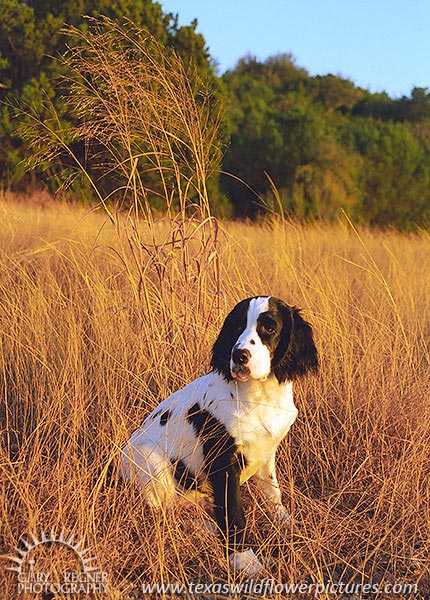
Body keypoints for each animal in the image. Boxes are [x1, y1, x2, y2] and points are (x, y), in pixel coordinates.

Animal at [119, 298, 318, 576]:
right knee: (161, 514)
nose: (239, 355)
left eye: (268, 327)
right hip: (151, 460)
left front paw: (285, 522)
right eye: (237, 325)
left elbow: (273, 493)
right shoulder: (222, 460)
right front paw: (245, 560)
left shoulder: (266, 452)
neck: (259, 395)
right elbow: (234, 512)